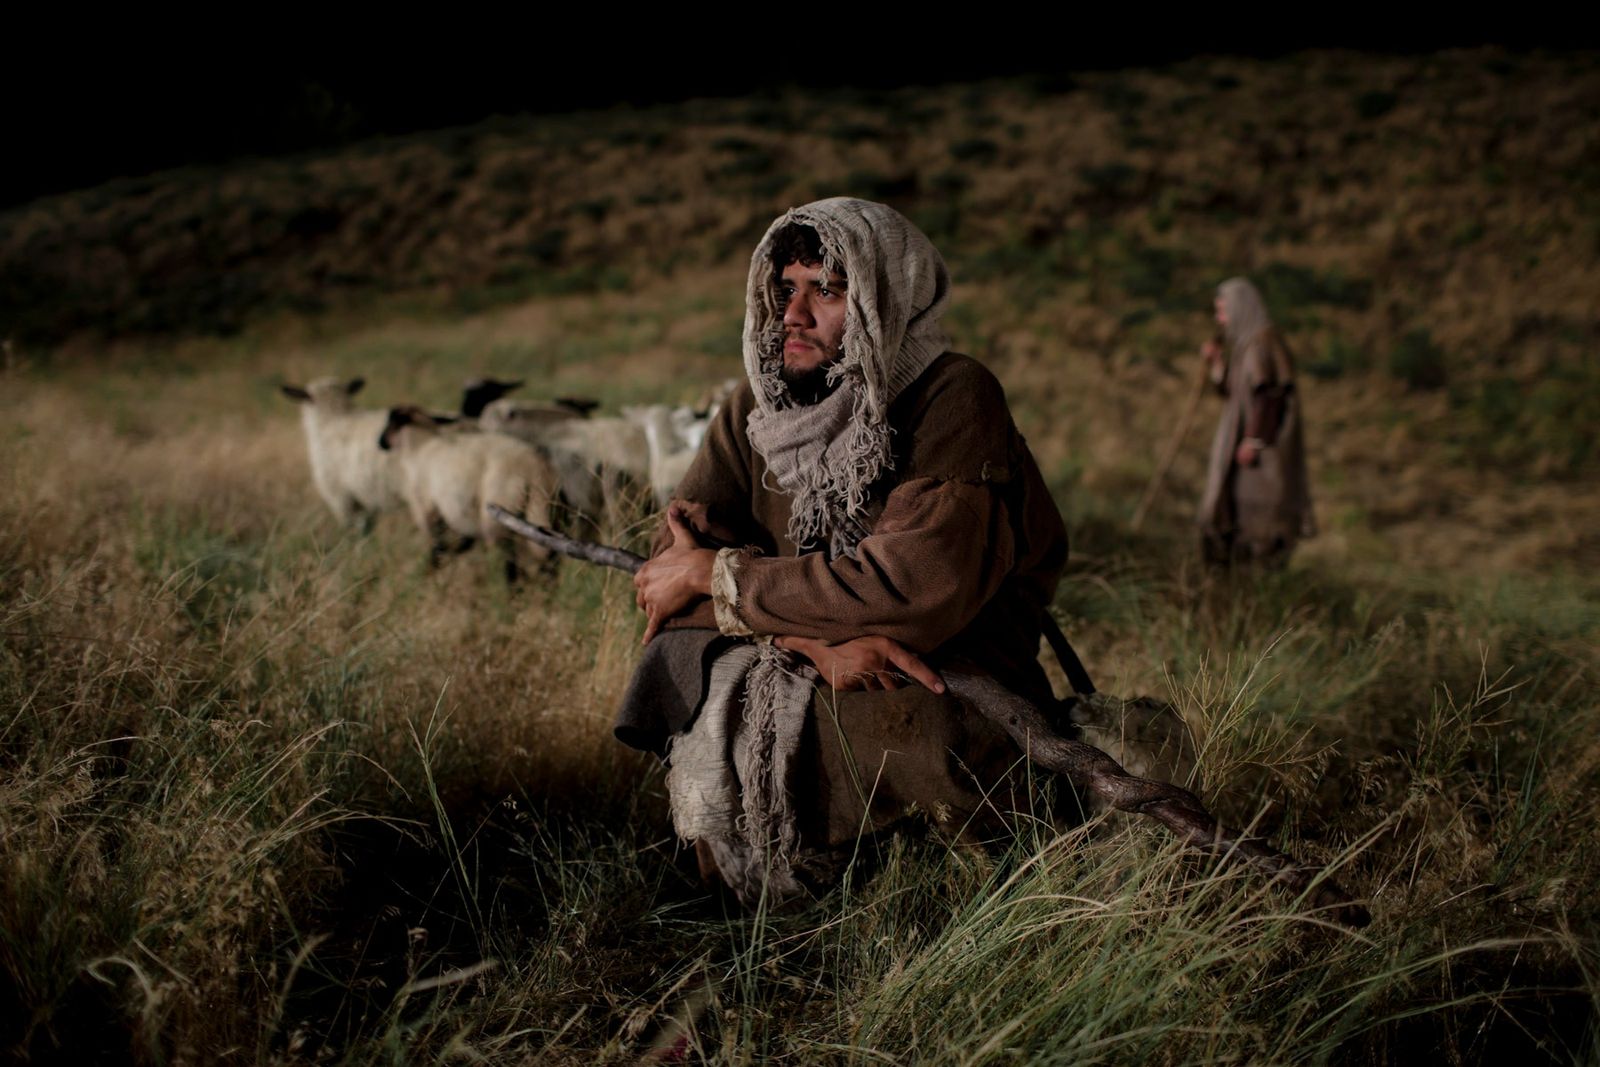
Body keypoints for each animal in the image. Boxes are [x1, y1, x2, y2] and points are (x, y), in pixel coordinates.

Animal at [380, 404, 563, 585]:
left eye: (390, 422)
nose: (380, 443)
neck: (419, 446)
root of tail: (534, 466)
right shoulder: (458, 517)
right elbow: (460, 544)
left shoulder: (426, 509)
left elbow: (437, 545)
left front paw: (432, 572)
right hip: (543, 506)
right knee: (548, 553)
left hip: (499, 516)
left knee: (510, 557)